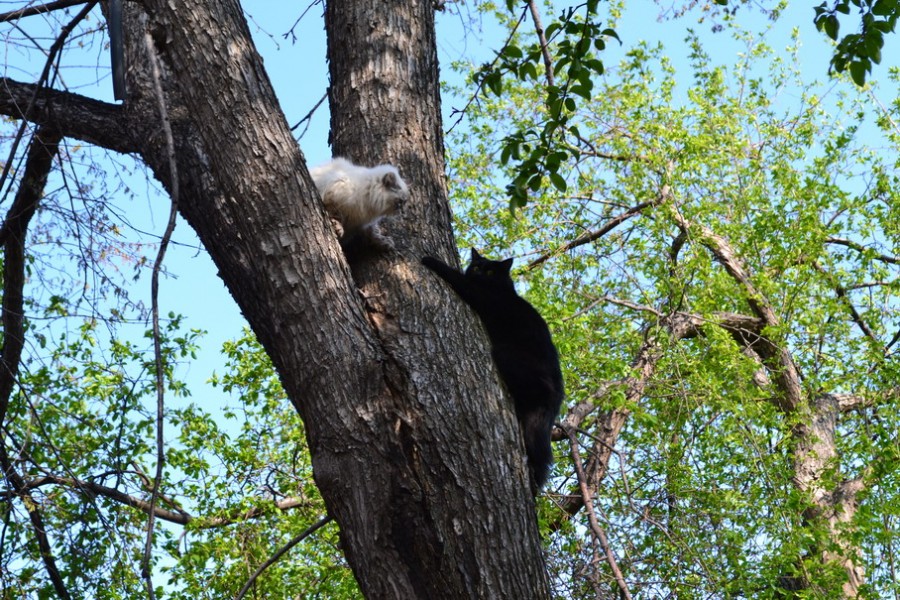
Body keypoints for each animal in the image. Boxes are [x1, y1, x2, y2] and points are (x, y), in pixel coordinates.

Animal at [422, 247, 564, 492]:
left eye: (490, 271)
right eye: (477, 266)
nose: (479, 272)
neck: (502, 289)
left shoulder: (479, 294)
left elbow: (454, 275)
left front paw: (430, 260)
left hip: (505, 354)